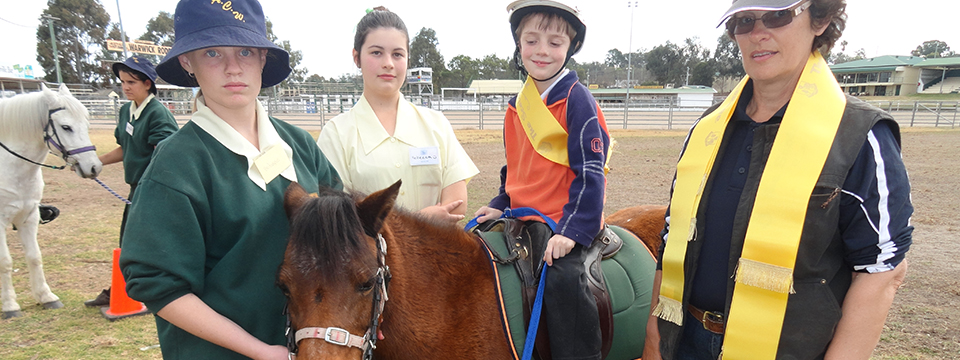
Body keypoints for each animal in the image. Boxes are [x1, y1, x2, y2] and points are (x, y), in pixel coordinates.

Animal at [0, 83, 103, 318]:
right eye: (66, 127)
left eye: (87, 124)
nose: (94, 167)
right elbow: (5, 262)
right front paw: (10, 306)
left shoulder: (29, 215)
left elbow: (34, 257)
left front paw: (46, 297)